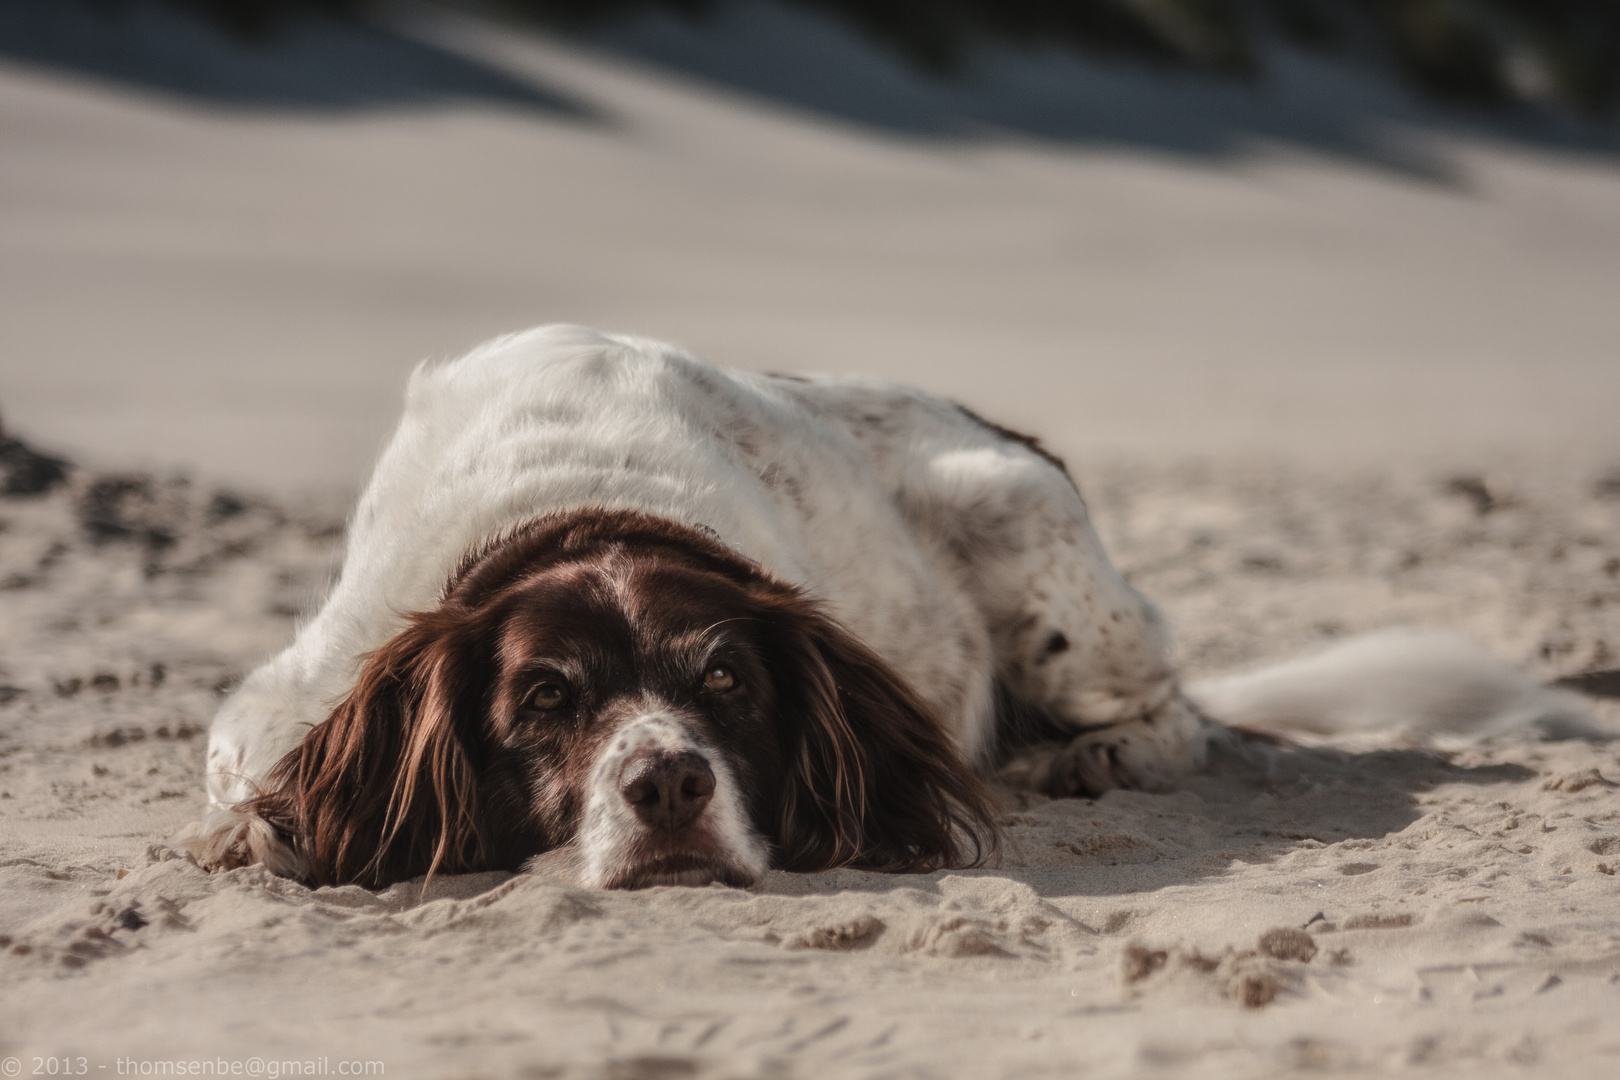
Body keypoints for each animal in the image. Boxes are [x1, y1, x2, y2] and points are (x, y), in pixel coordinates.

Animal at [189, 325, 1581, 893]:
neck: (586, 508)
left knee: (1178, 710)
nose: (669, 785)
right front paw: (256, 834)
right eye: (543, 701)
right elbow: (254, 792)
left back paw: (1103, 756)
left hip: (1030, 530)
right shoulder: (294, 689)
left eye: (730, 683)